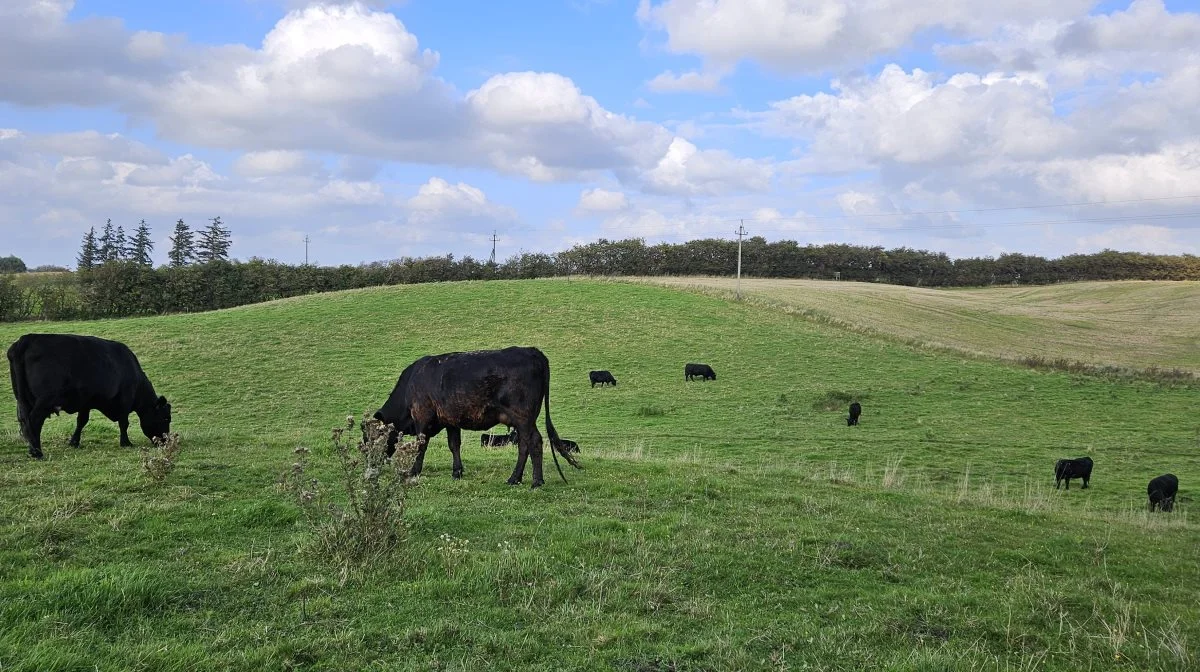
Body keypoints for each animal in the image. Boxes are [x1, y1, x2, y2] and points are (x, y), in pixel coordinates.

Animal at [7, 333, 172, 458]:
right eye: (166, 418)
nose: (166, 442)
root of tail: (27, 339)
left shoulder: (86, 401)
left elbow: (81, 421)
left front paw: (74, 442)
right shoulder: (125, 400)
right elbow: (124, 423)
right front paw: (126, 443)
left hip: (23, 400)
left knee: (25, 423)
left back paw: (32, 449)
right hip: (44, 400)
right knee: (34, 421)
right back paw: (37, 452)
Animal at [374, 345, 580, 487]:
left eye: (371, 436)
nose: (374, 462)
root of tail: (532, 351)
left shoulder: (422, 416)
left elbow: (421, 445)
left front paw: (413, 471)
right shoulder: (450, 420)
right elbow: (454, 445)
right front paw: (457, 472)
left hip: (523, 417)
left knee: (534, 442)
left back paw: (536, 481)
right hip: (524, 420)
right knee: (524, 445)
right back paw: (515, 478)